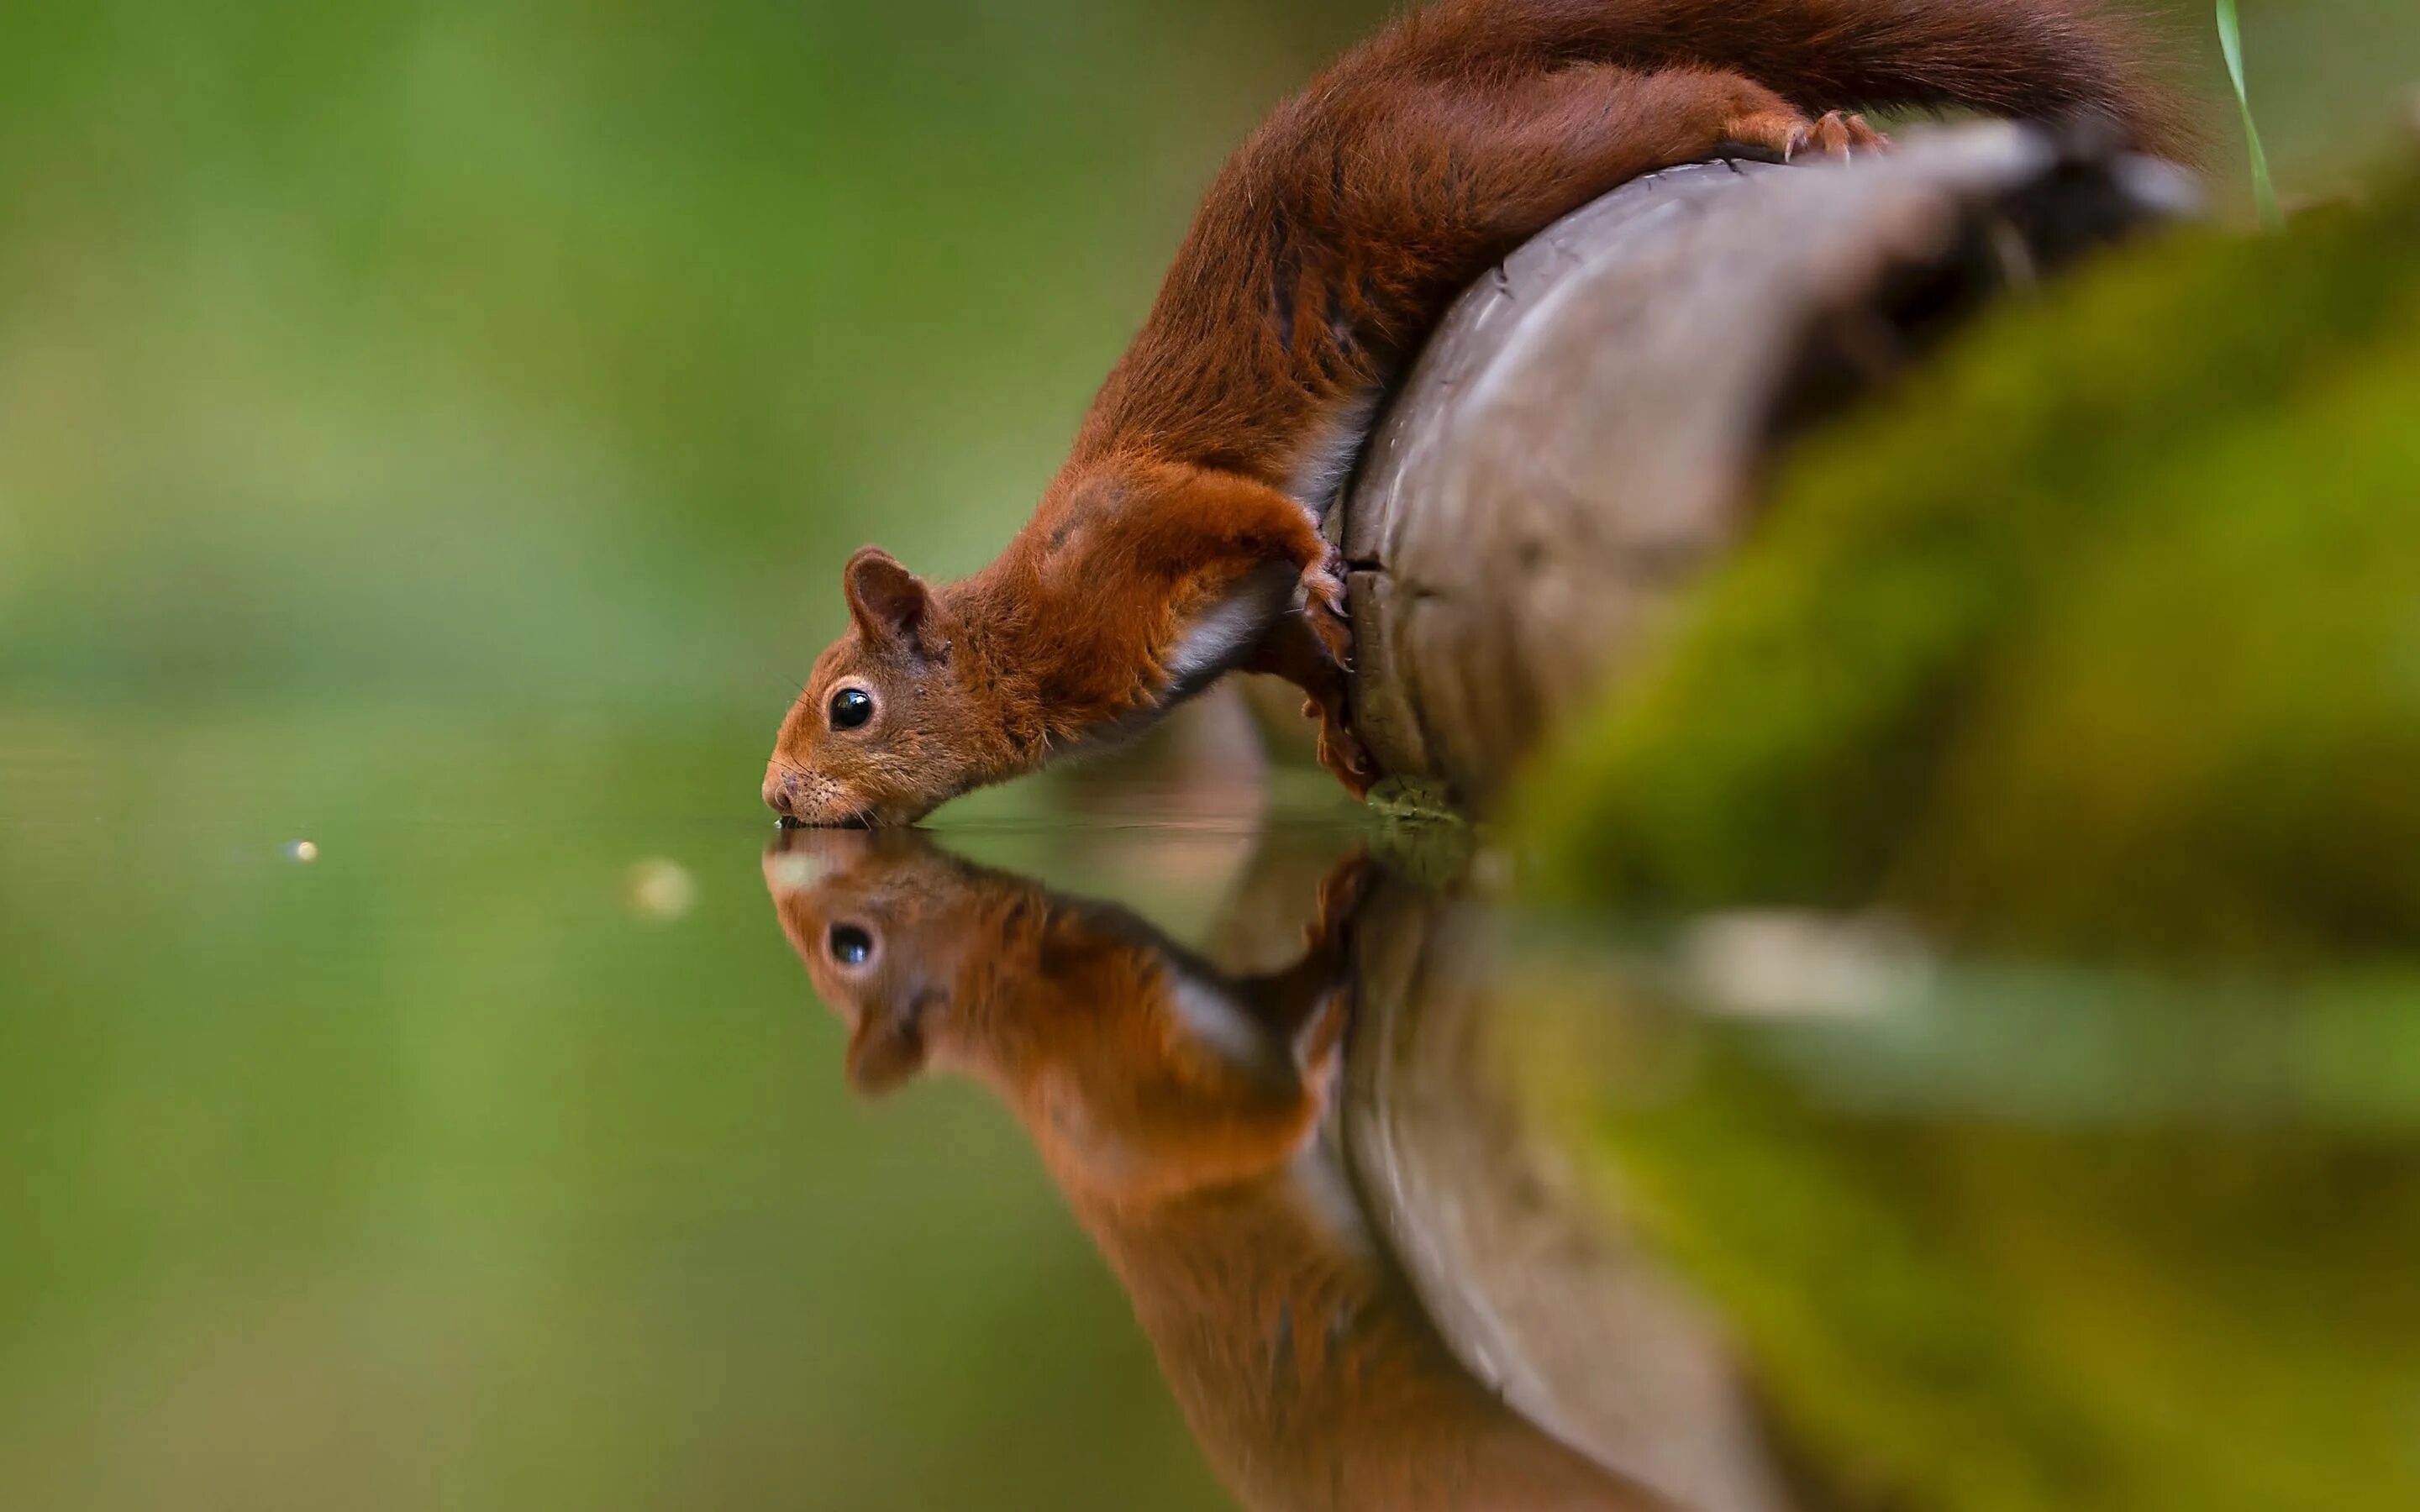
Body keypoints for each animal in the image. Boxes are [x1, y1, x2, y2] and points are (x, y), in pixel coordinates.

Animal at [765, 0, 2187, 827]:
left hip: (1464, 168)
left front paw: (1318, 559)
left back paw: (1804, 126)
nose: (776, 800)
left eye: (851, 707)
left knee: (1681, 93)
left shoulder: (1129, 525)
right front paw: (1335, 724)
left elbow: (1243, 509)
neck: (1028, 638)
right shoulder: (1210, 629)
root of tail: (1386, 70)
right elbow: (1283, 643)